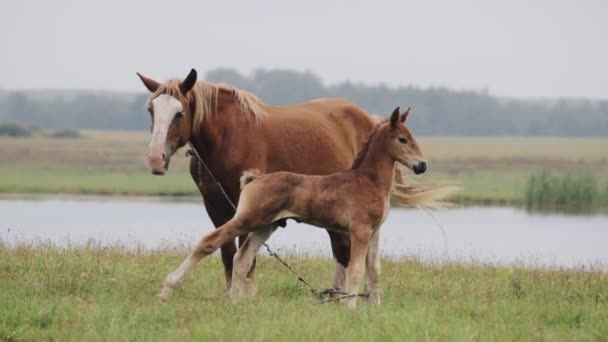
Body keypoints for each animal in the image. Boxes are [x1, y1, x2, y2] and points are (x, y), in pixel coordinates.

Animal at [160, 106, 428, 308]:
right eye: (402, 139)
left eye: (412, 137)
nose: (422, 165)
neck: (367, 180)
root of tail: (254, 179)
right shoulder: (359, 231)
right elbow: (356, 269)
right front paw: (351, 308)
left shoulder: (374, 232)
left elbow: (374, 270)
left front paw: (373, 308)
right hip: (247, 219)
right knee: (210, 241)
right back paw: (167, 289)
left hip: (265, 226)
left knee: (242, 258)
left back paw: (235, 302)